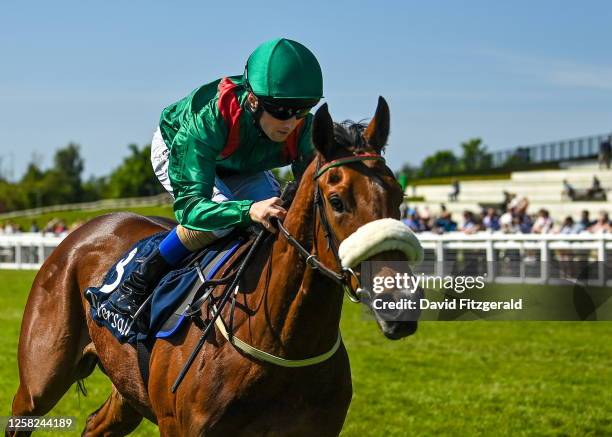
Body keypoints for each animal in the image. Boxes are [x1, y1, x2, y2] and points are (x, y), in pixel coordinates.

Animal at [9, 98, 424, 436]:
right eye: (337, 201)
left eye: (399, 196)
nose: (398, 304)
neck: (281, 341)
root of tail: (83, 230)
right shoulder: (179, 428)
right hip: (41, 379)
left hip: (127, 388)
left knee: (96, 425)